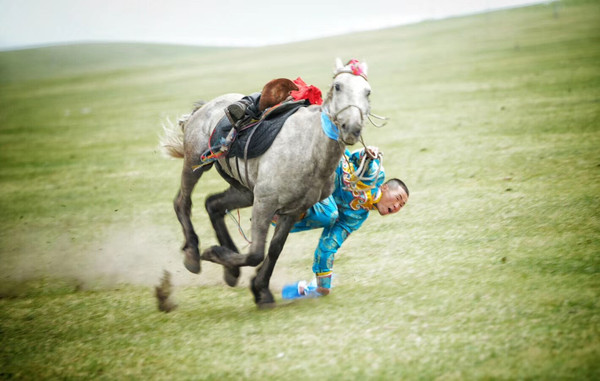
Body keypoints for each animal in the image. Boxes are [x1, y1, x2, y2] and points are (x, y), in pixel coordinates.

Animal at [162, 57, 372, 306]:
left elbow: (274, 249)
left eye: (367, 92)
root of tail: (202, 108)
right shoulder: (265, 203)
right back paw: (194, 255)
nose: (352, 128)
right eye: (338, 86)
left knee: (213, 204)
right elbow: (256, 253)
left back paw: (231, 271)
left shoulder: (293, 210)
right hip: (195, 163)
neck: (309, 147)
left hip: (244, 190)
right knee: (182, 202)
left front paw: (260, 289)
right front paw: (214, 253)